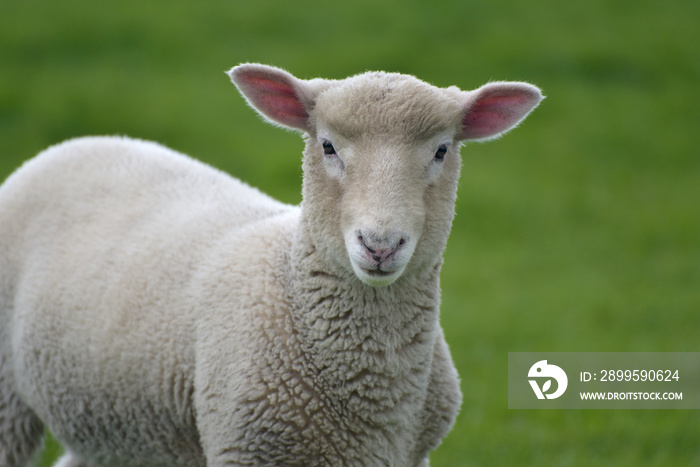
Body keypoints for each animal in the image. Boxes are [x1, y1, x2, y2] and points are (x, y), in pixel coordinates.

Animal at [0, 63, 540, 467]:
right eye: (327, 146)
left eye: (442, 150)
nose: (380, 245)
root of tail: (82, 141)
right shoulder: (245, 446)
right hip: (8, 391)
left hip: (119, 429)